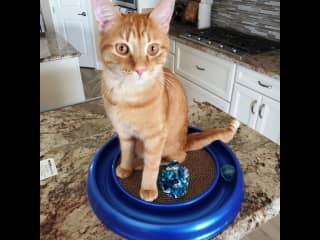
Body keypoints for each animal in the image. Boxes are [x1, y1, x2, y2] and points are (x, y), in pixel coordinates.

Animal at [94, 0, 239, 202]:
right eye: (122, 48)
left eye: (153, 48)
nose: (140, 69)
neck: (129, 97)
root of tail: (185, 140)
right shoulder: (124, 132)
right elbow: (125, 151)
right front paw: (125, 167)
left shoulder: (156, 137)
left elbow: (152, 165)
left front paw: (147, 188)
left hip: (168, 147)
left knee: (177, 157)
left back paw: (142, 163)